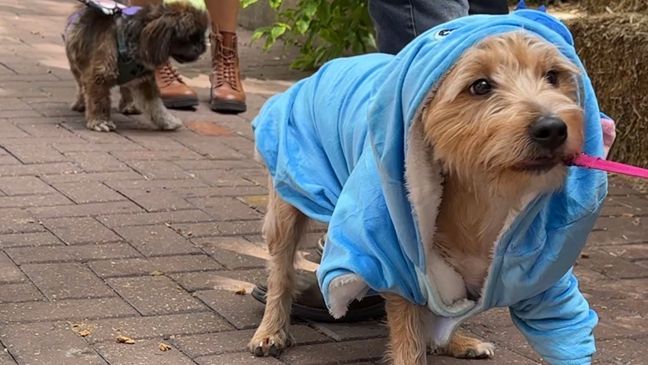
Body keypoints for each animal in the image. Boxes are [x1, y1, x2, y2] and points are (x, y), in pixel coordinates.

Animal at [64, 2, 206, 132]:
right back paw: (80, 103)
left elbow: (156, 104)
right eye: (190, 37)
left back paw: (130, 105)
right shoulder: (99, 76)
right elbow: (99, 101)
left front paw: (166, 120)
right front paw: (100, 121)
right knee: (81, 86)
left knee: (126, 88)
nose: (202, 47)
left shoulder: (145, 80)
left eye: (200, 37)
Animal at [248, 32, 584, 364]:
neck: (478, 193)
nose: (553, 128)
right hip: (287, 199)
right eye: (480, 86)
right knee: (281, 271)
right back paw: (271, 330)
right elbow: (409, 333)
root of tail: (325, 68)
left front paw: (451, 339)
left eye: (553, 76)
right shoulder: (397, 256)